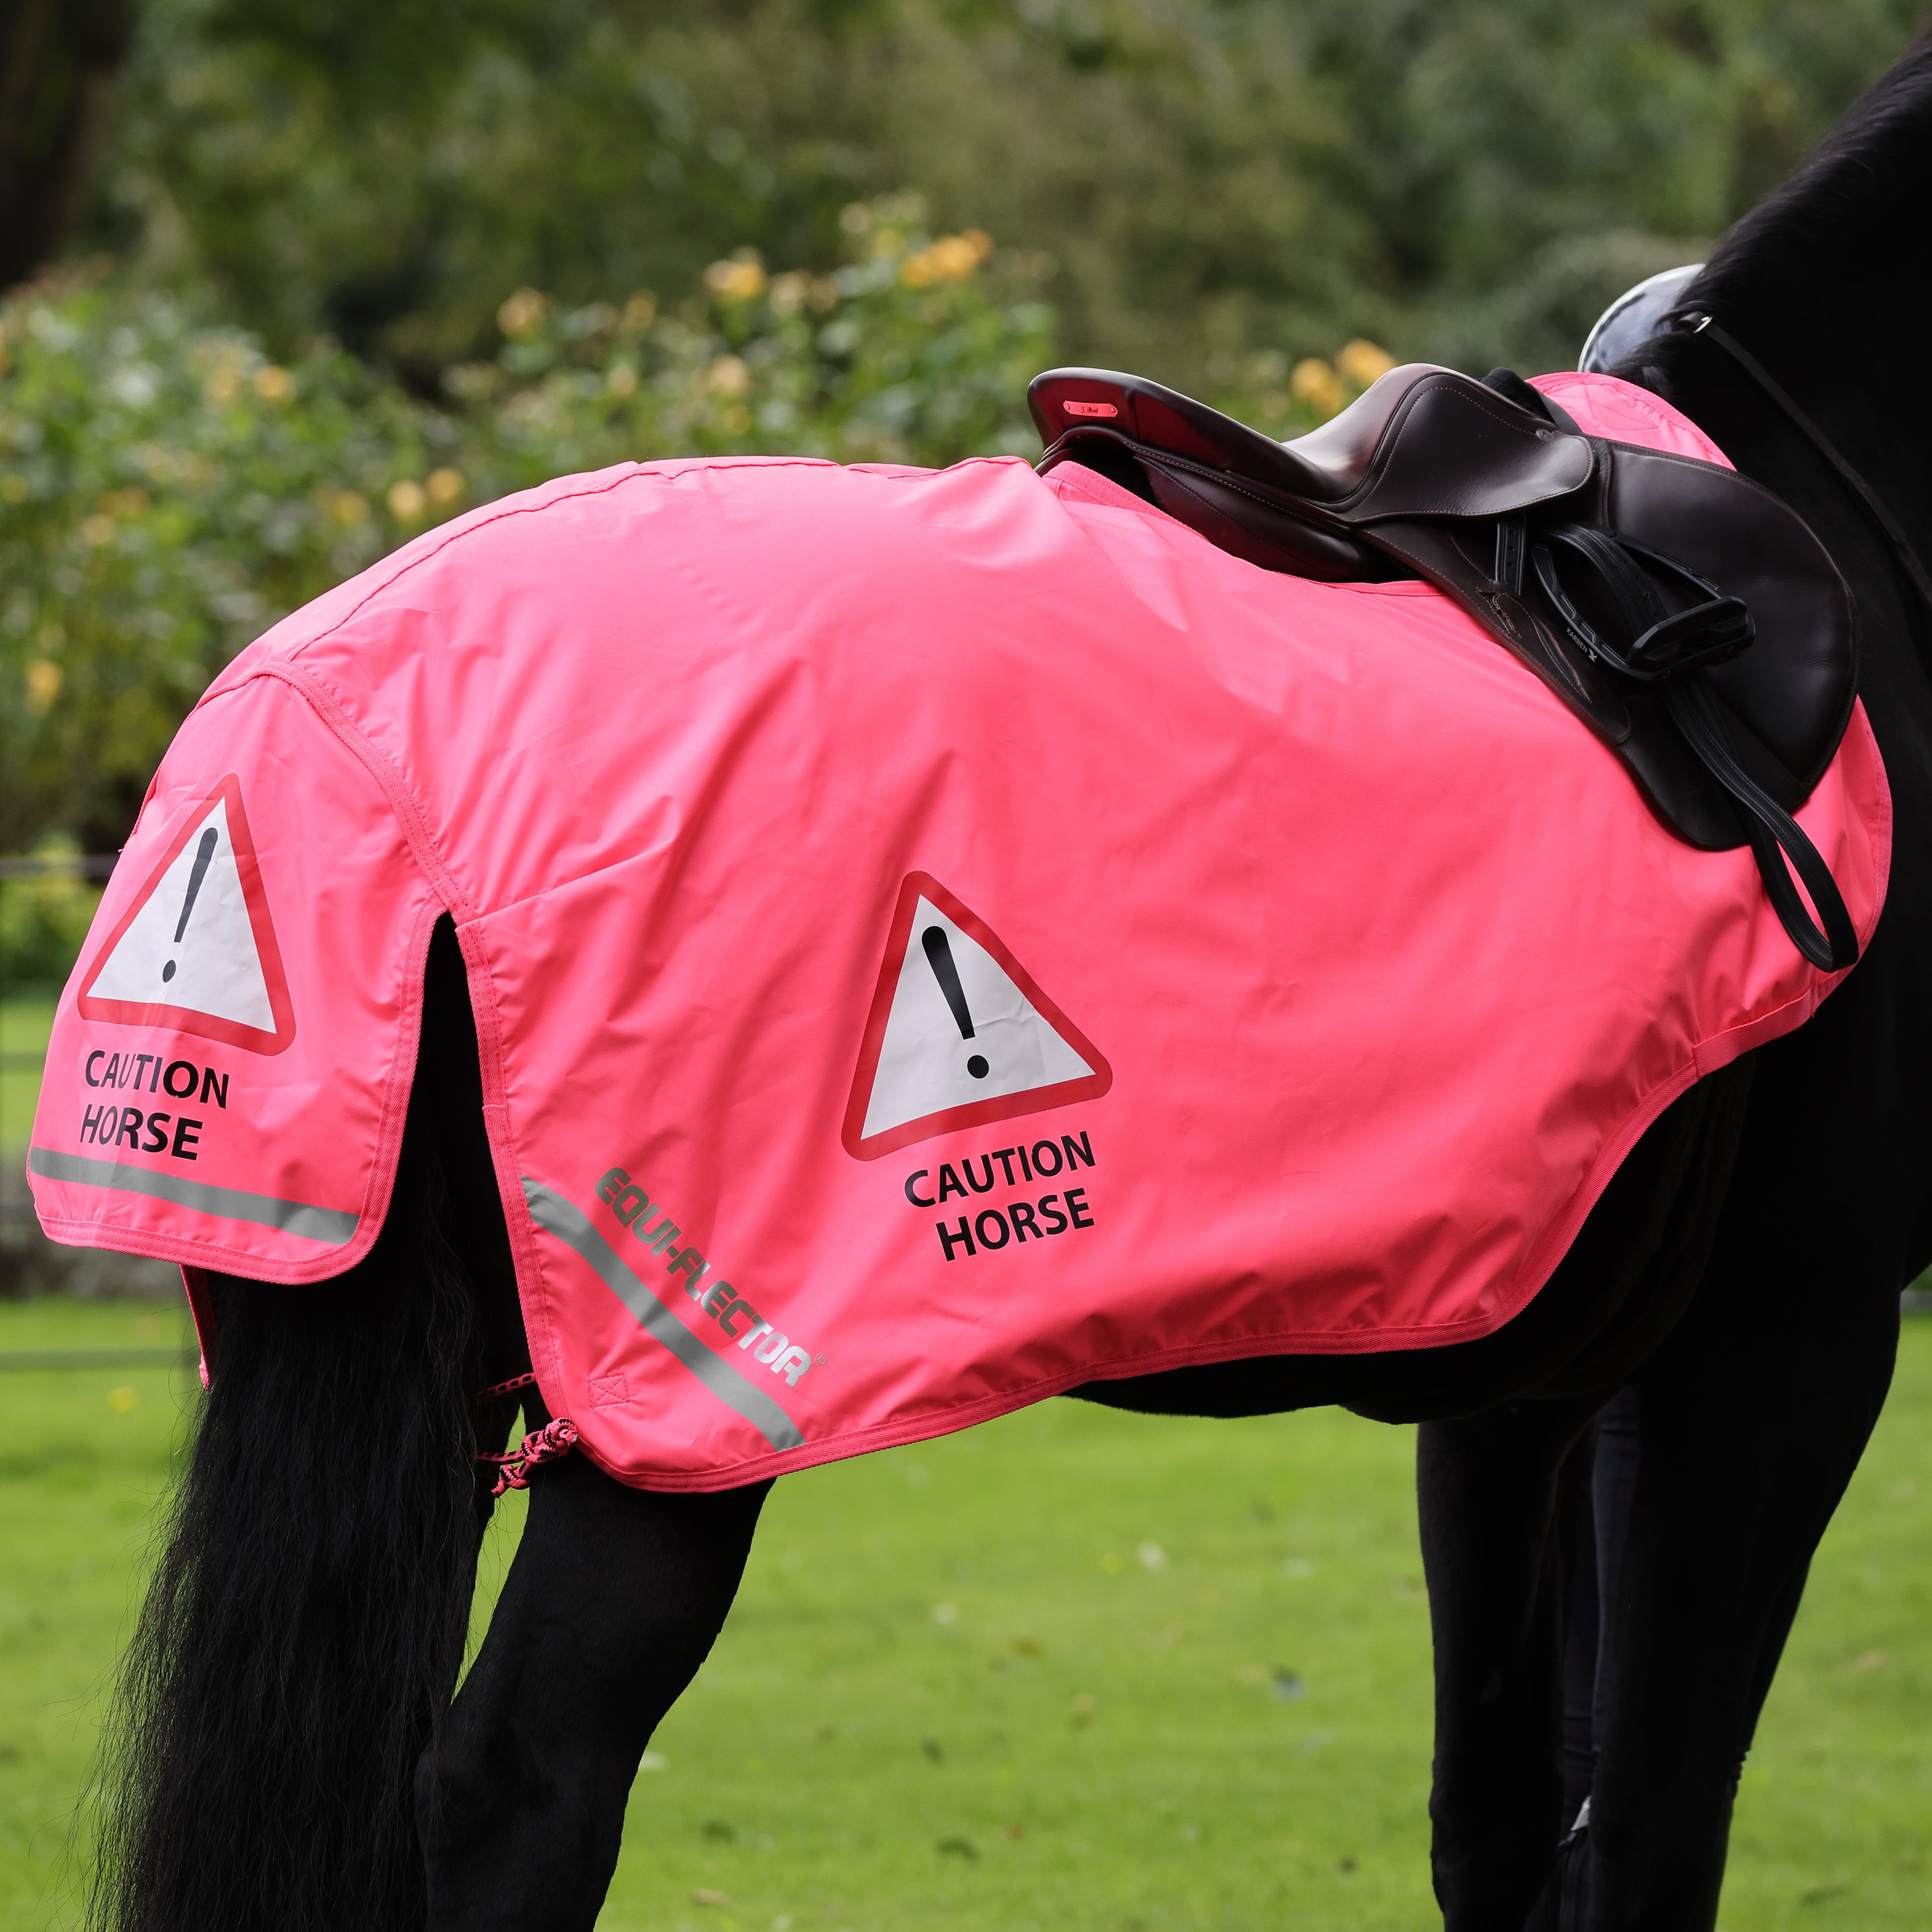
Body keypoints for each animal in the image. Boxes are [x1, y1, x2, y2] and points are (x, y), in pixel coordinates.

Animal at [81, 37, 1932, 1932]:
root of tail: (331, 728)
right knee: (512, 1785)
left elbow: (1502, 1819)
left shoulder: (1530, 1367)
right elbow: (1647, 1828)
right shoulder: (1780, 1343)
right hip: (678, 1405)